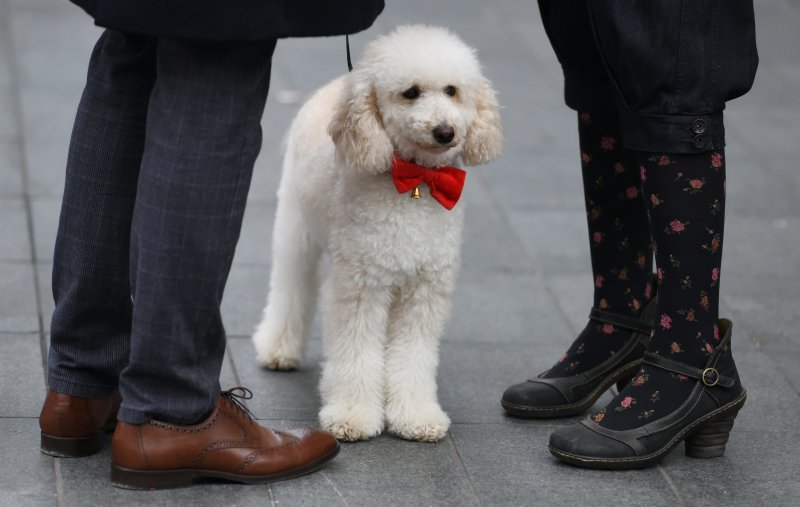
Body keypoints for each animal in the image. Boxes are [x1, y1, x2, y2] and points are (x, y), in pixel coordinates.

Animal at [253, 25, 504, 442]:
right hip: (296, 226)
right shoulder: (361, 283)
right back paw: (278, 349)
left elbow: (414, 355)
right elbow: (355, 352)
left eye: (452, 90)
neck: (416, 182)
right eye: (411, 92)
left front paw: (416, 416)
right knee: (291, 284)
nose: (445, 131)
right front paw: (352, 416)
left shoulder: (424, 287)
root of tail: (338, 84)